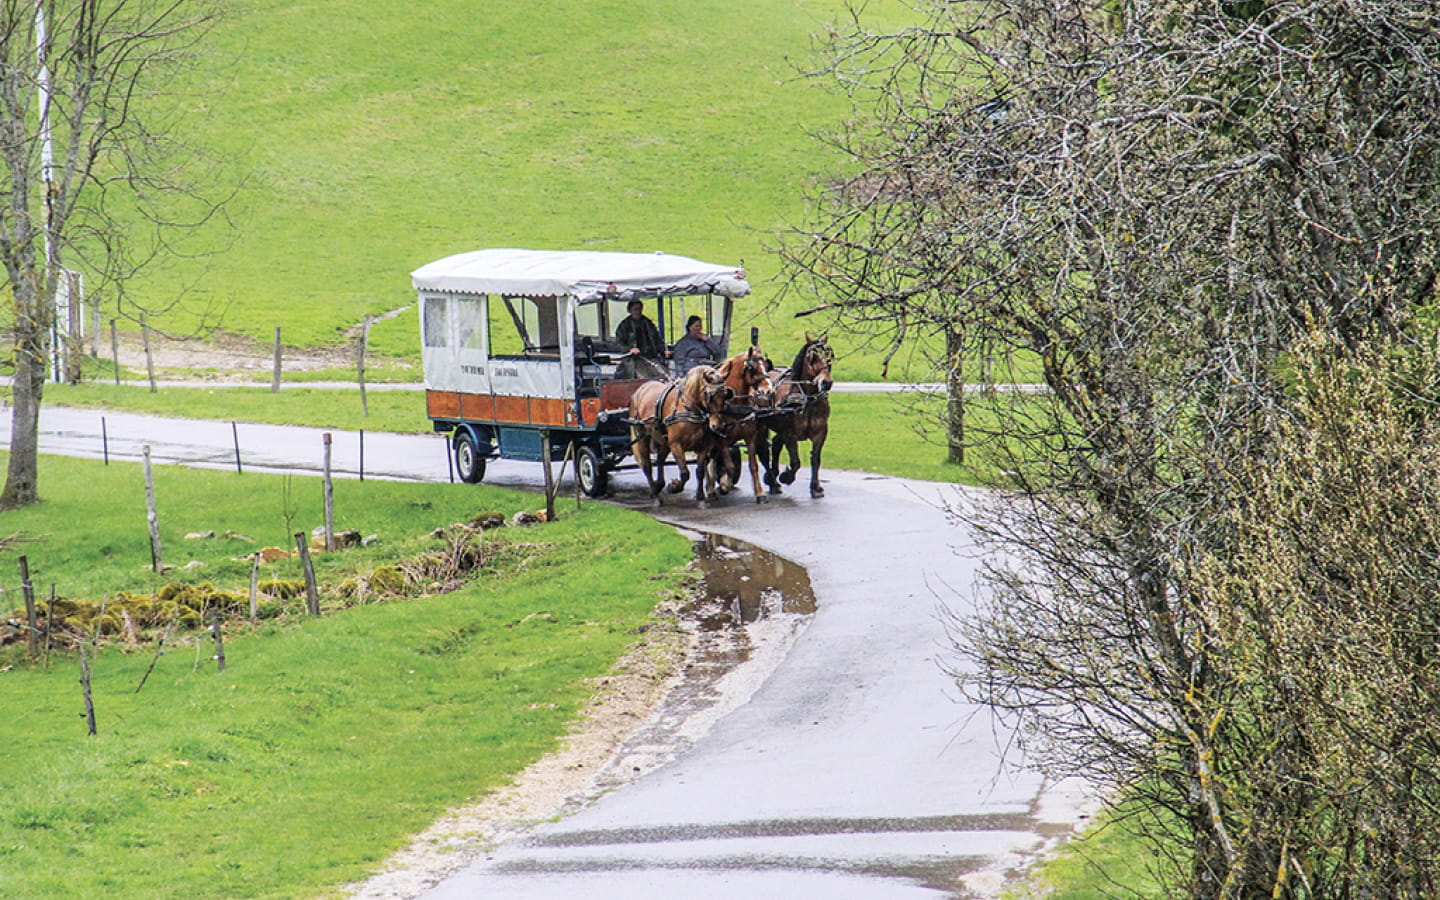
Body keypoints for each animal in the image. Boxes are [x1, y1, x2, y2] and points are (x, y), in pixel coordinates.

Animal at [633, 365, 737, 506]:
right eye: (709, 396)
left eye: (726, 395)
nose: (719, 426)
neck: (689, 409)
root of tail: (641, 388)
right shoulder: (676, 445)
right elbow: (685, 473)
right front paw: (675, 487)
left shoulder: (704, 446)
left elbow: (700, 471)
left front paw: (700, 497)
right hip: (643, 437)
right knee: (647, 466)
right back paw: (655, 495)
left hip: (664, 441)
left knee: (660, 460)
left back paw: (658, 485)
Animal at [711, 344, 777, 501]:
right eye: (751, 368)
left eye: (766, 366)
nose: (768, 390)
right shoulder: (721, 439)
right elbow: (730, 466)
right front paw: (725, 485)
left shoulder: (750, 437)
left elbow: (753, 465)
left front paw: (760, 492)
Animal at [766, 334, 835, 498]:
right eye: (812, 357)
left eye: (829, 356)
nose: (826, 382)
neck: (806, 399)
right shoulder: (789, 433)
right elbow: (796, 461)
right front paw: (786, 477)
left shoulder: (820, 432)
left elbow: (815, 459)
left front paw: (816, 487)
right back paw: (771, 479)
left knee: (776, 444)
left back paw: (773, 479)